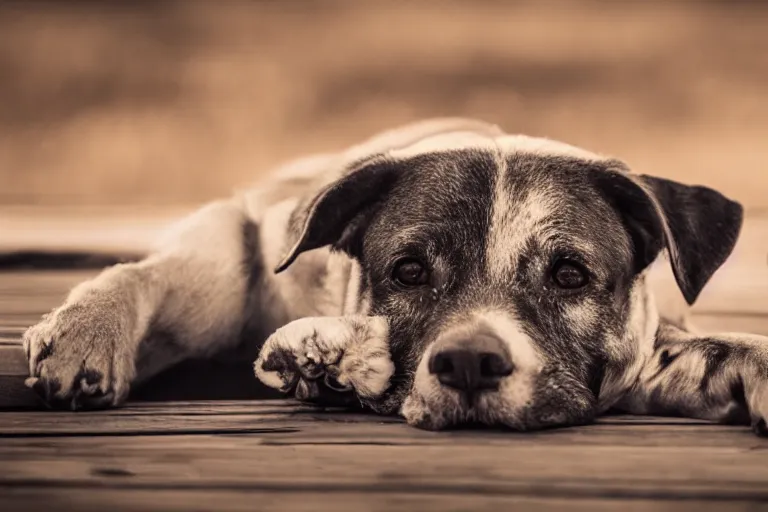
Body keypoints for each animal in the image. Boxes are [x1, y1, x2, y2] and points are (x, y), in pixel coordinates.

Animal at [19, 118, 768, 434]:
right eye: (408, 272)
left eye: (570, 275)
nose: (469, 362)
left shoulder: (655, 355)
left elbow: (729, 351)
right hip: (219, 273)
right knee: (147, 274)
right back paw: (87, 332)